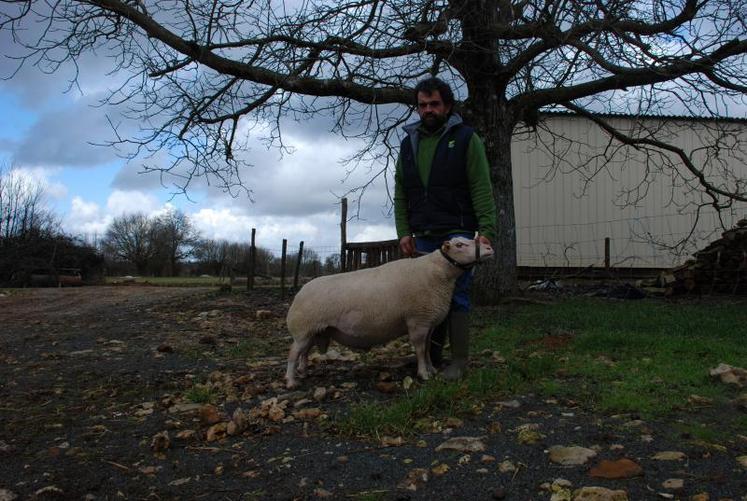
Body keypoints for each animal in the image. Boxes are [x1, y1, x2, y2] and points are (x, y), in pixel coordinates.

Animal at [284, 236, 494, 388]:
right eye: (459, 244)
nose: (489, 247)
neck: (438, 274)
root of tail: (301, 291)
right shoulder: (418, 321)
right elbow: (420, 349)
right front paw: (423, 374)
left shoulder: (429, 323)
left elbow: (427, 348)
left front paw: (432, 370)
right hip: (303, 329)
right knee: (293, 353)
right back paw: (291, 381)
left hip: (314, 330)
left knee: (304, 352)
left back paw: (303, 372)